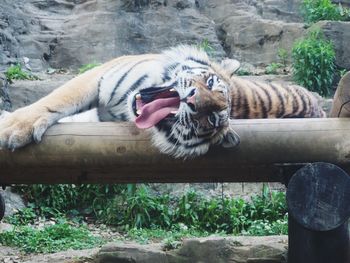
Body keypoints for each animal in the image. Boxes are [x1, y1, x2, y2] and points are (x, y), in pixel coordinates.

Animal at [0, 45, 326, 159]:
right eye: (210, 84)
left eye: (211, 118)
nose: (193, 100)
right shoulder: (100, 75)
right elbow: (58, 99)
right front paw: (14, 125)